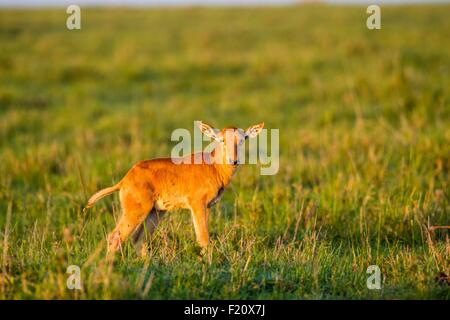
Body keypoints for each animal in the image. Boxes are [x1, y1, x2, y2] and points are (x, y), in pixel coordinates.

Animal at [84, 121, 264, 256]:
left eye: (242, 139)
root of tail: (124, 180)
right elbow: (203, 239)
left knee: (139, 239)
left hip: (156, 212)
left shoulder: (206, 207)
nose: (234, 161)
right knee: (115, 237)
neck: (212, 165)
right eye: (221, 140)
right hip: (136, 211)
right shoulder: (197, 205)